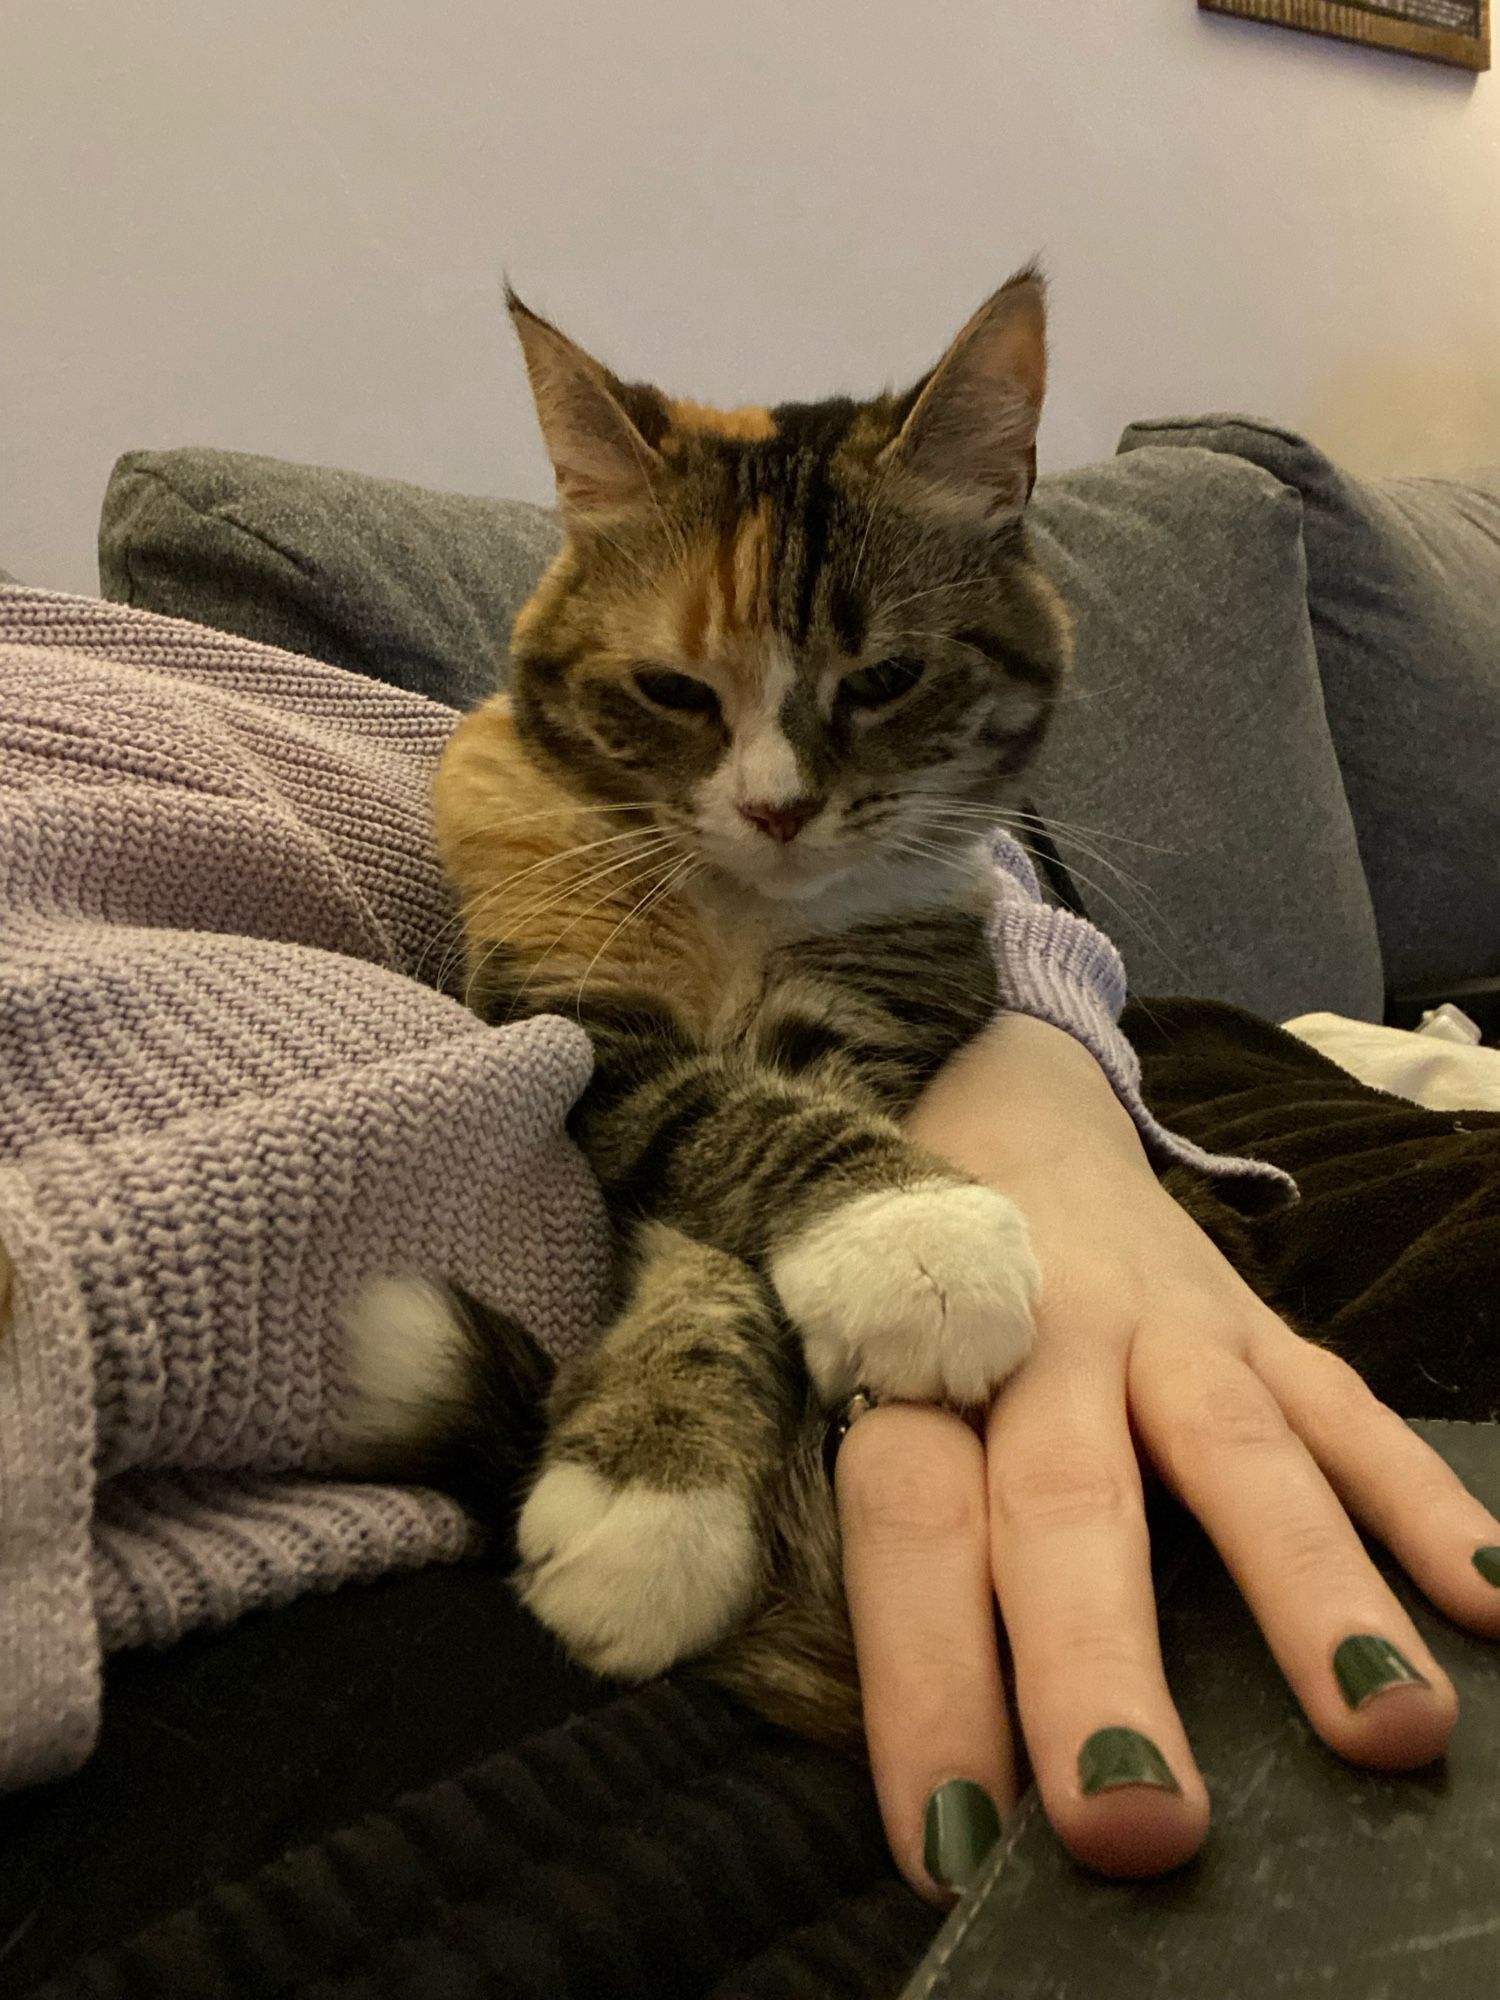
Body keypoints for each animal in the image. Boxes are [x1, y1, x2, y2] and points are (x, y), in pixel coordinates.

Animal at [346, 270, 1080, 1752]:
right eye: (675, 690)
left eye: (885, 679)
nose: (778, 809)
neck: (740, 912)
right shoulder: (578, 1029)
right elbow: (716, 1145)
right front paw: (650, 1501)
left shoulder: (881, 1008)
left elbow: (768, 1143)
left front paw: (899, 1238)